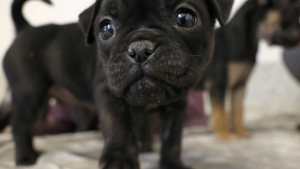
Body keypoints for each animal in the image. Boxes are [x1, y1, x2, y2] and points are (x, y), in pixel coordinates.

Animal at [4, 0, 234, 169]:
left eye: (185, 18)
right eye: (106, 29)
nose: (140, 49)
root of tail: (25, 29)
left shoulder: (175, 105)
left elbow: (171, 136)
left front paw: (171, 163)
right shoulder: (109, 95)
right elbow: (119, 127)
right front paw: (121, 160)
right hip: (30, 93)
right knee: (20, 124)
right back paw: (26, 157)